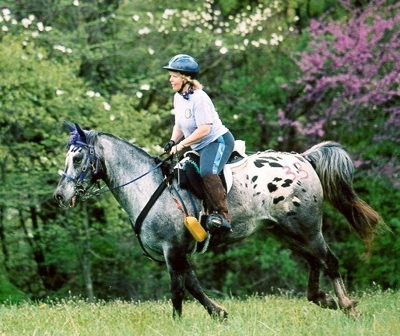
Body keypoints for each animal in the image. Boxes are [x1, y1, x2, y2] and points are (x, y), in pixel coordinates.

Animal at [53, 122, 382, 318]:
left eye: (78, 158)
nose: (60, 195)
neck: (148, 187)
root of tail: (302, 158)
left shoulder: (173, 250)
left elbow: (178, 291)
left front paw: (181, 322)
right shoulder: (179, 252)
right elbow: (193, 286)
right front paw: (219, 313)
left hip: (307, 228)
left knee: (330, 261)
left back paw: (347, 306)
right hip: (288, 231)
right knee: (316, 262)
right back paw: (323, 299)